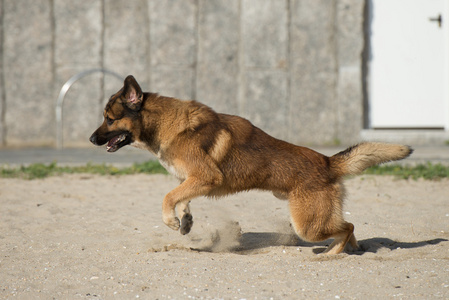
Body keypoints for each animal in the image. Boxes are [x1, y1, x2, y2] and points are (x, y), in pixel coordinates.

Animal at [90, 74, 412, 253]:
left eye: (109, 119)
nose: (92, 139)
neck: (165, 123)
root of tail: (327, 161)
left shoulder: (206, 177)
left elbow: (168, 197)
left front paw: (171, 220)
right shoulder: (191, 180)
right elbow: (181, 197)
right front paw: (185, 221)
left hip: (306, 225)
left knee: (347, 226)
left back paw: (332, 255)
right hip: (315, 218)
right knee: (348, 227)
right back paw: (354, 250)